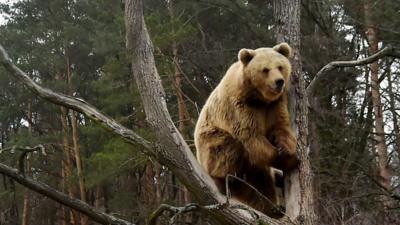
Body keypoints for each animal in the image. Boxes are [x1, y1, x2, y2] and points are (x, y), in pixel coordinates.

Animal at [194, 42, 300, 218]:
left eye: (280, 66)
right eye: (265, 69)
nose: (279, 82)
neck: (259, 97)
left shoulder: (276, 104)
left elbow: (280, 127)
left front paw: (287, 149)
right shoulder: (241, 106)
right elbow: (251, 137)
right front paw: (288, 159)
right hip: (211, 143)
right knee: (236, 156)